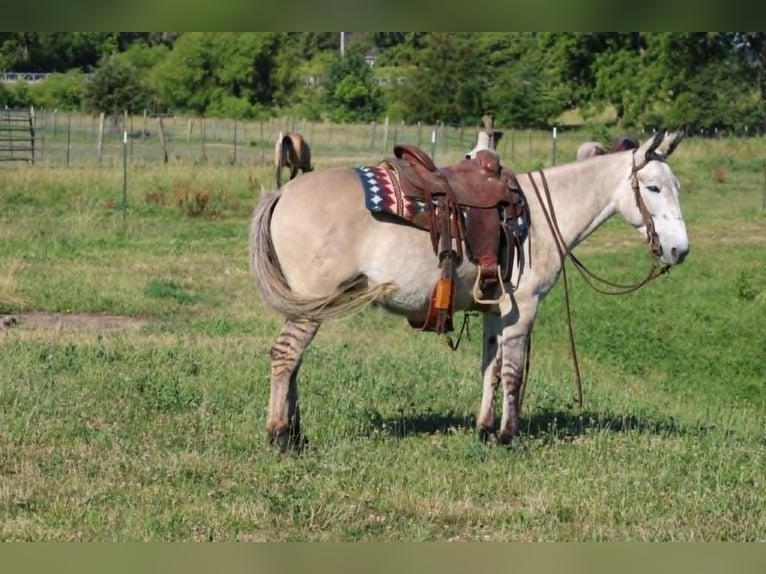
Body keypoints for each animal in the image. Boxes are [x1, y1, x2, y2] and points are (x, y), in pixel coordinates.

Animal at [250, 129, 689, 452]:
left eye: (676, 187)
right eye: (652, 188)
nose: (679, 250)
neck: (540, 219)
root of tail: (282, 193)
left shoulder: (496, 312)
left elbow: (489, 369)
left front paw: (485, 429)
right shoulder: (524, 310)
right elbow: (513, 374)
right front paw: (508, 437)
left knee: (294, 362)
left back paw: (296, 434)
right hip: (310, 304)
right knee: (285, 356)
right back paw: (281, 437)